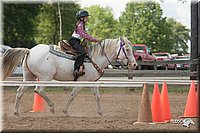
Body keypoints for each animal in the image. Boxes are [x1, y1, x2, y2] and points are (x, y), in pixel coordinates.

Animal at [1, 36, 138, 115]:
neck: (95, 58)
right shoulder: (81, 82)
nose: (134, 64)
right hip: (45, 77)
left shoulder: (92, 82)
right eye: (127, 49)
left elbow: (97, 96)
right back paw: (52, 107)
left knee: (20, 91)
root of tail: (29, 50)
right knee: (38, 90)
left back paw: (16, 112)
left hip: (29, 77)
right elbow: (72, 95)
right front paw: (65, 111)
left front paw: (100, 112)